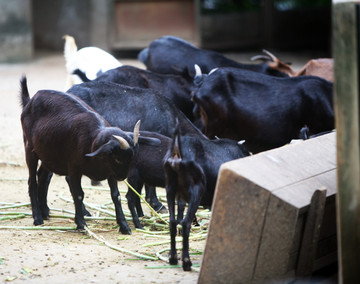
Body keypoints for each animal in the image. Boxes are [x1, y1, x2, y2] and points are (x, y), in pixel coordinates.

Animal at [19, 76, 158, 234]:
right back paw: (37, 218)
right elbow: (78, 194)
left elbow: (115, 196)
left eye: (133, 157)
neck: (92, 140)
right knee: (32, 181)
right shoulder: (74, 169)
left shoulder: (110, 173)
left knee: (42, 176)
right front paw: (81, 223)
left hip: (48, 155)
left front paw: (124, 226)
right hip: (30, 148)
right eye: (118, 158)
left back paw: (45, 212)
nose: (122, 177)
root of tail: (30, 100)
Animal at [164, 125, 250, 270]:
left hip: (170, 188)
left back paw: (173, 258)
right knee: (186, 223)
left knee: (172, 222)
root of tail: (177, 151)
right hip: (196, 189)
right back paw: (187, 262)